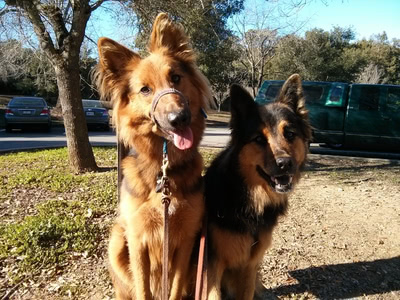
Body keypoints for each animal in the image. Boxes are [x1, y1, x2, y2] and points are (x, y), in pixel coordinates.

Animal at [94, 12, 212, 298]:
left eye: (176, 78)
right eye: (145, 90)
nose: (179, 118)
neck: (163, 170)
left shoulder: (187, 239)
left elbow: (176, 287)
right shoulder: (137, 239)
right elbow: (142, 288)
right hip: (117, 238)